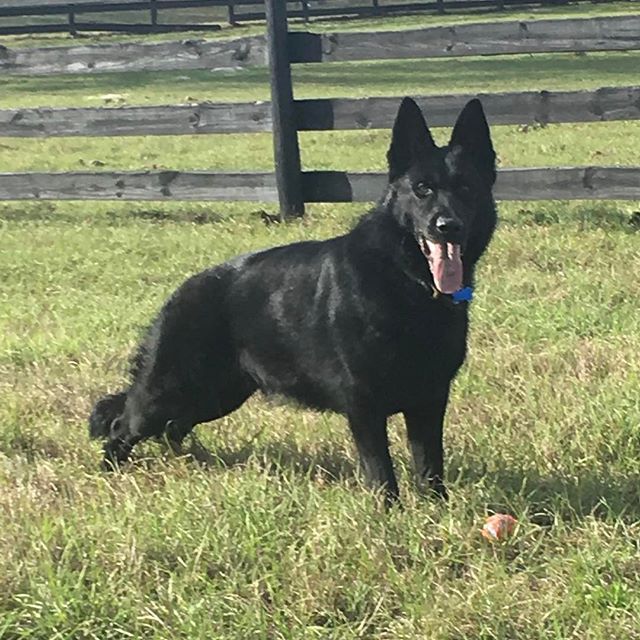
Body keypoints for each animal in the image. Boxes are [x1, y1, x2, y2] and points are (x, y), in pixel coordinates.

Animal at [90, 97, 498, 502]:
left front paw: (435, 510)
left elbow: (430, 467)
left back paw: (194, 462)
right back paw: (109, 471)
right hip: (167, 391)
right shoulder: (364, 405)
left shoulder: (429, 401)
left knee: (174, 427)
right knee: (122, 424)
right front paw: (389, 512)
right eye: (422, 188)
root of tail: (179, 293)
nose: (447, 227)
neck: (405, 280)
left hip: (215, 394)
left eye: (466, 187)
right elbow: (382, 474)